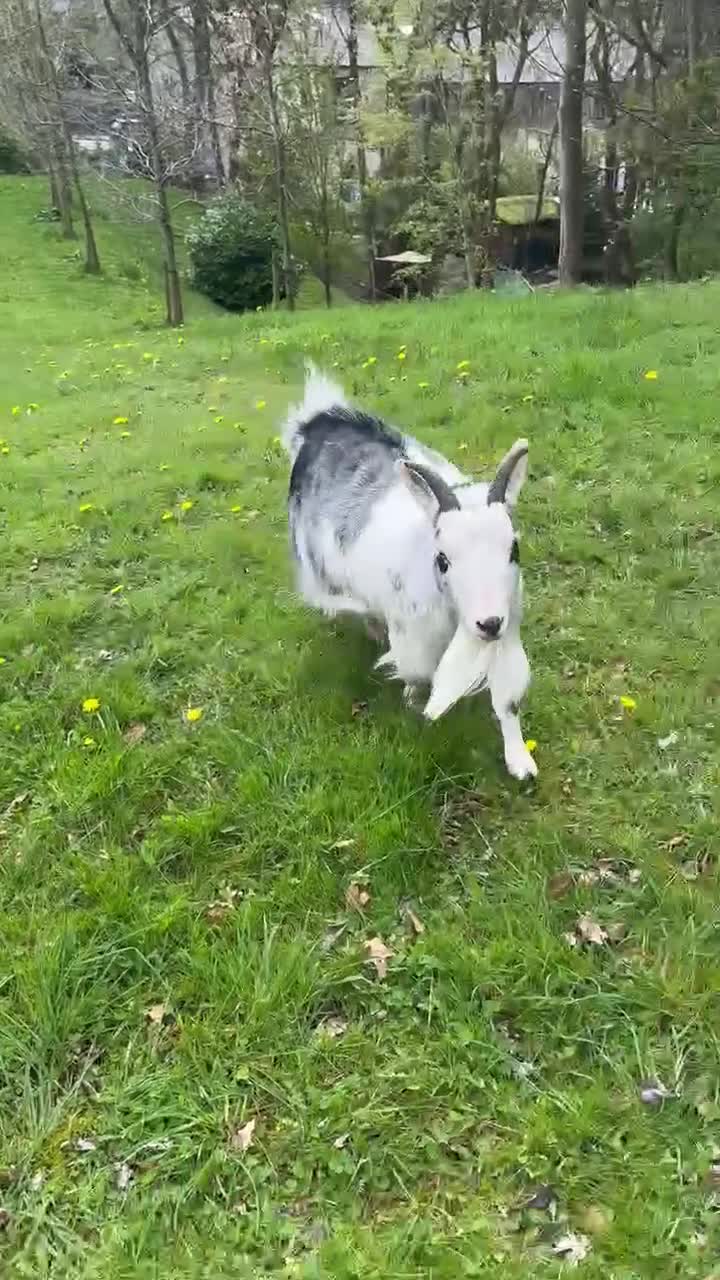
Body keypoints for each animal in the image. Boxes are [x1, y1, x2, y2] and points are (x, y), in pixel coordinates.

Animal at [283, 367, 537, 781]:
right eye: (443, 559)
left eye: (514, 549)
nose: (488, 623)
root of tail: (319, 420)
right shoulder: (414, 634)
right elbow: (418, 675)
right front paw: (413, 702)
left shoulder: (507, 631)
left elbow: (507, 702)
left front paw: (521, 763)